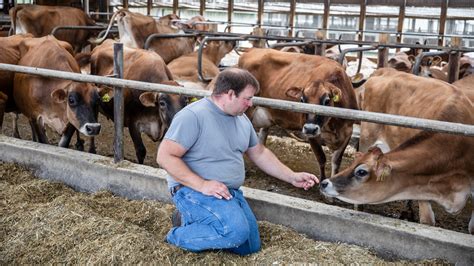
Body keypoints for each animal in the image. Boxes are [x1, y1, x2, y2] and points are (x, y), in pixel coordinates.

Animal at [239, 48, 358, 180]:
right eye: (302, 100)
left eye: (327, 101)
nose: (310, 128)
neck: (333, 126)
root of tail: (252, 50)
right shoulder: (309, 132)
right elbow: (321, 158)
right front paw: (322, 181)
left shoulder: (348, 131)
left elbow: (337, 161)